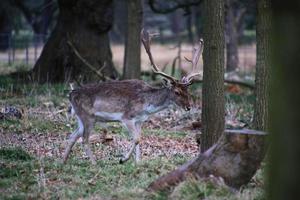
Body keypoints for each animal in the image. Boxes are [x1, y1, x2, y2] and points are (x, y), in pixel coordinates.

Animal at [63, 29, 204, 164]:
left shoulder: (140, 120)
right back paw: (94, 163)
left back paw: (62, 161)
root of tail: (70, 94)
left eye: (187, 91)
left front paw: (137, 163)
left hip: (81, 118)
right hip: (88, 117)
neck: (147, 105)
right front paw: (123, 159)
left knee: (72, 136)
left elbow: (140, 138)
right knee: (84, 139)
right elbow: (136, 139)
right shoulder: (126, 117)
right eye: (176, 92)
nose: (188, 107)